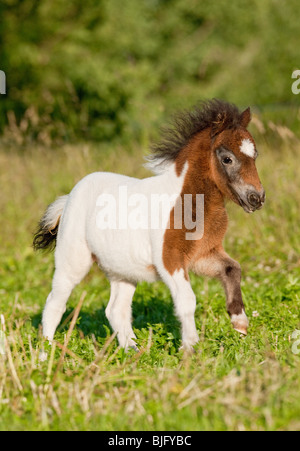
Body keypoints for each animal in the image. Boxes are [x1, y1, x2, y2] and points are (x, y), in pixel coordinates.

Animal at [34, 100, 264, 356]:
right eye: (227, 159)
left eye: (255, 155)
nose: (256, 198)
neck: (187, 202)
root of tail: (69, 197)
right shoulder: (170, 259)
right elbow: (187, 300)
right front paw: (190, 347)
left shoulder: (202, 255)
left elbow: (233, 269)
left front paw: (240, 323)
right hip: (73, 260)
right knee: (55, 303)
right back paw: (45, 353)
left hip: (123, 270)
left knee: (116, 310)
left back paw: (133, 351)